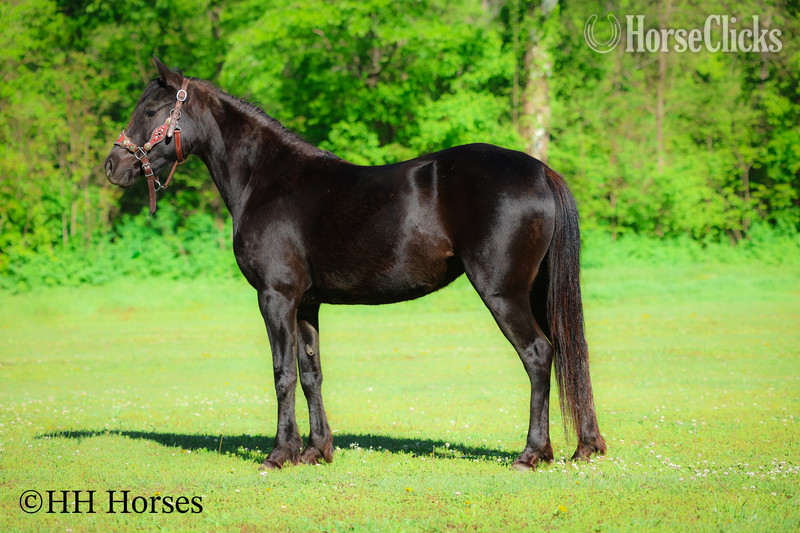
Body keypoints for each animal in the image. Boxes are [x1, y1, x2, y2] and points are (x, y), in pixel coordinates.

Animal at [105, 57, 606, 471]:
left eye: (150, 112)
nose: (113, 165)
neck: (266, 180)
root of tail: (540, 170)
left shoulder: (275, 298)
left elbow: (282, 374)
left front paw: (279, 454)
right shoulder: (305, 304)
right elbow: (311, 373)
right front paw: (315, 451)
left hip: (503, 293)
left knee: (538, 355)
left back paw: (531, 454)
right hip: (537, 291)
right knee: (563, 351)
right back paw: (583, 446)